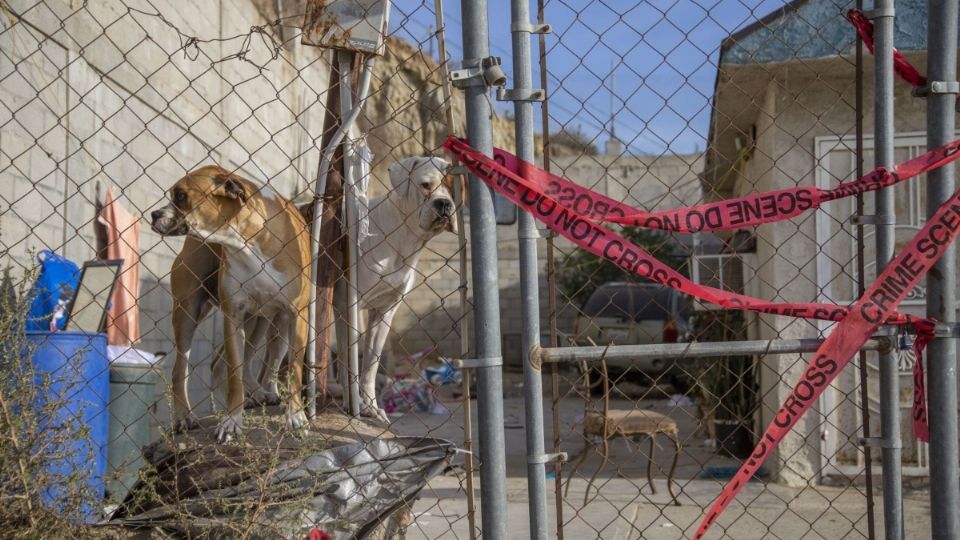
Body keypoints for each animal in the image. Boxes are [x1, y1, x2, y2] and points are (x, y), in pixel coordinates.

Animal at [149, 166, 312, 442]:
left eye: (181, 196)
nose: (154, 214)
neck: (247, 241)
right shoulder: (232, 317)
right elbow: (234, 372)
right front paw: (231, 421)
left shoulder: (296, 315)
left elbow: (294, 369)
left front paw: (296, 416)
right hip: (188, 312)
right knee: (181, 369)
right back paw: (184, 417)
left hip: (263, 321)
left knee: (255, 357)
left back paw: (259, 393)